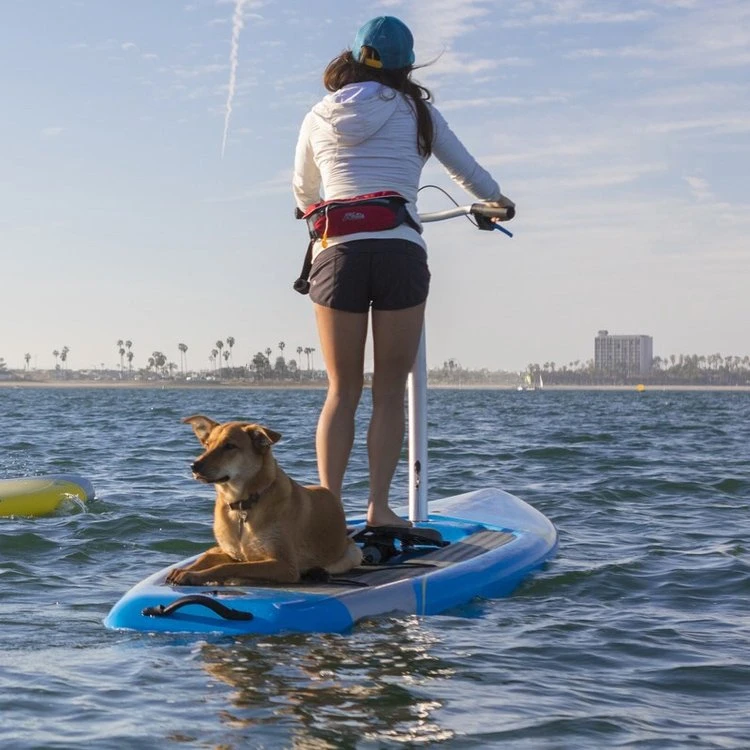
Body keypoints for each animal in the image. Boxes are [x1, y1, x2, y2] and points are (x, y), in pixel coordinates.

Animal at [165, 418, 364, 588]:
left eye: (229, 446)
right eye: (207, 445)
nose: (194, 466)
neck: (242, 504)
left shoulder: (284, 565)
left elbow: (229, 567)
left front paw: (194, 575)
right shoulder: (229, 552)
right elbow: (208, 558)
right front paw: (186, 570)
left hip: (353, 553)